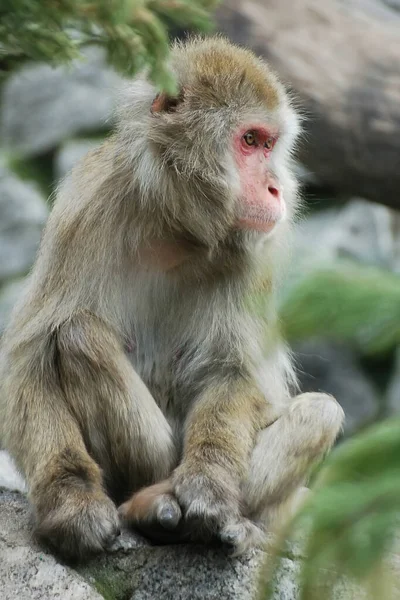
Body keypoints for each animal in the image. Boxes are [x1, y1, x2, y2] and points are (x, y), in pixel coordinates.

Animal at [0, 36, 344, 564]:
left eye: (269, 144)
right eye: (249, 141)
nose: (275, 187)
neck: (176, 225)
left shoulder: (258, 252)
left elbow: (235, 370)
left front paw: (208, 484)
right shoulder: (85, 206)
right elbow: (30, 360)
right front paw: (71, 500)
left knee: (321, 413)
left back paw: (216, 516)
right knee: (76, 334)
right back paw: (145, 503)